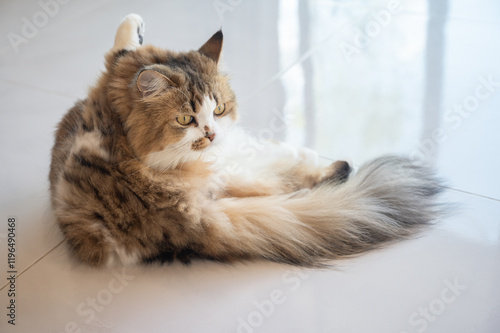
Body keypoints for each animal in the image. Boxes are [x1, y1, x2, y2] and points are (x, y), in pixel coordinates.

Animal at [48, 13, 444, 268]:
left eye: (219, 108)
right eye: (185, 119)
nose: (211, 133)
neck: (117, 118)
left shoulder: (111, 78)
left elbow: (122, 43)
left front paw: (136, 24)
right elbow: (121, 47)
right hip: (237, 174)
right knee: (291, 177)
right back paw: (326, 162)